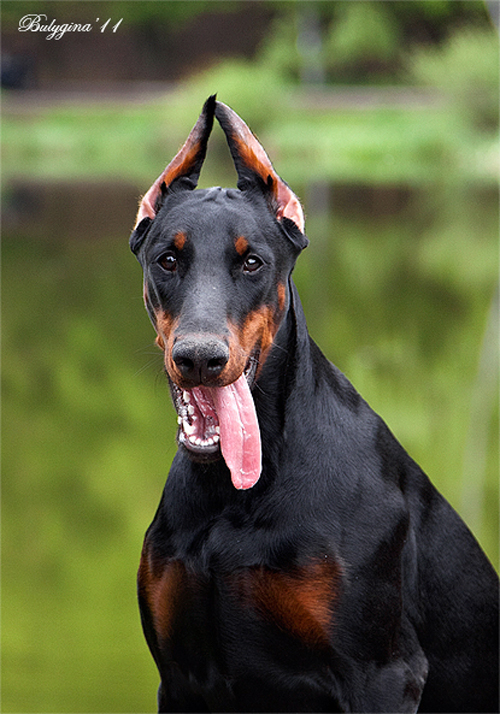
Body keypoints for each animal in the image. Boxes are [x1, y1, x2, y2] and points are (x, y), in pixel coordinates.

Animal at [130, 96, 499, 712]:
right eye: (167, 259)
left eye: (252, 262)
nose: (200, 357)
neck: (235, 493)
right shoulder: (179, 676)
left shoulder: (383, 673)